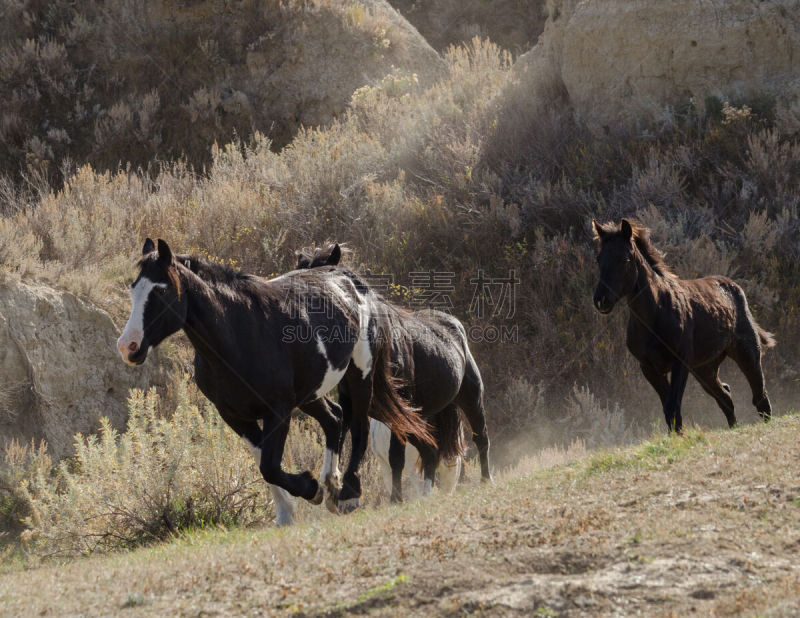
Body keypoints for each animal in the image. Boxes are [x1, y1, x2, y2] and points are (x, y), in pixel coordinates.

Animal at [115, 238, 434, 524]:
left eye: (161, 290)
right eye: (133, 289)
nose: (128, 346)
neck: (240, 333)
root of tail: (350, 280)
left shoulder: (277, 411)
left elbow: (269, 465)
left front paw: (310, 488)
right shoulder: (234, 416)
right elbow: (263, 463)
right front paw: (287, 512)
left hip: (359, 375)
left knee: (358, 426)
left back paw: (348, 493)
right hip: (310, 393)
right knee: (334, 418)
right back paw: (331, 483)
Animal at [298, 241, 488, 500]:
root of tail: (454, 325)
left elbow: (395, 457)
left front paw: (395, 498)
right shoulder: (355, 406)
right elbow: (340, 433)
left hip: (470, 398)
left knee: (481, 438)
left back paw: (487, 480)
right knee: (431, 452)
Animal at [592, 219, 776, 430]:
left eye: (624, 259)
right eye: (599, 259)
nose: (601, 300)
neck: (655, 314)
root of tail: (734, 288)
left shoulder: (680, 363)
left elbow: (673, 408)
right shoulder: (649, 368)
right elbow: (668, 410)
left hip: (747, 354)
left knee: (760, 397)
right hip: (705, 369)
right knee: (726, 397)